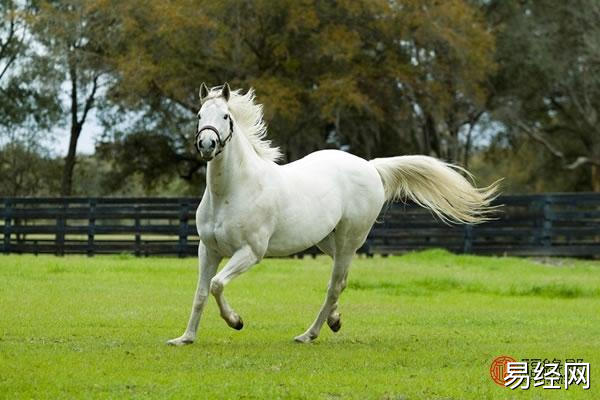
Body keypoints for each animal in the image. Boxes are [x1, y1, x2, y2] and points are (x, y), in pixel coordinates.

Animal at [166, 83, 494, 346]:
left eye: (226, 117)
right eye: (199, 116)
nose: (206, 144)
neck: (232, 191)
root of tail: (370, 166)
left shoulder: (250, 252)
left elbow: (217, 284)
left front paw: (236, 321)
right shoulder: (207, 250)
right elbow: (201, 292)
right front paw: (185, 338)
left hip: (350, 239)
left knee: (335, 284)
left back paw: (308, 334)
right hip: (327, 240)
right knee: (340, 280)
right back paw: (334, 321)